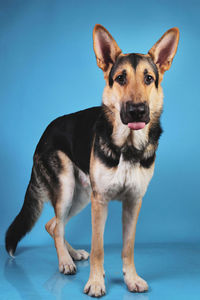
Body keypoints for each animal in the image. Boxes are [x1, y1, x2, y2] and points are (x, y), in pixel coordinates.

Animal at [5, 24, 180, 296]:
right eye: (121, 78)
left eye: (149, 79)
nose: (137, 110)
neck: (127, 147)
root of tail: (45, 132)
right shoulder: (100, 203)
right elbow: (98, 247)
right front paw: (96, 282)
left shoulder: (133, 202)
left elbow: (128, 247)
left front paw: (131, 278)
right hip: (68, 189)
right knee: (57, 226)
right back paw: (65, 261)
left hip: (81, 196)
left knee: (53, 225)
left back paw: (72, 254)